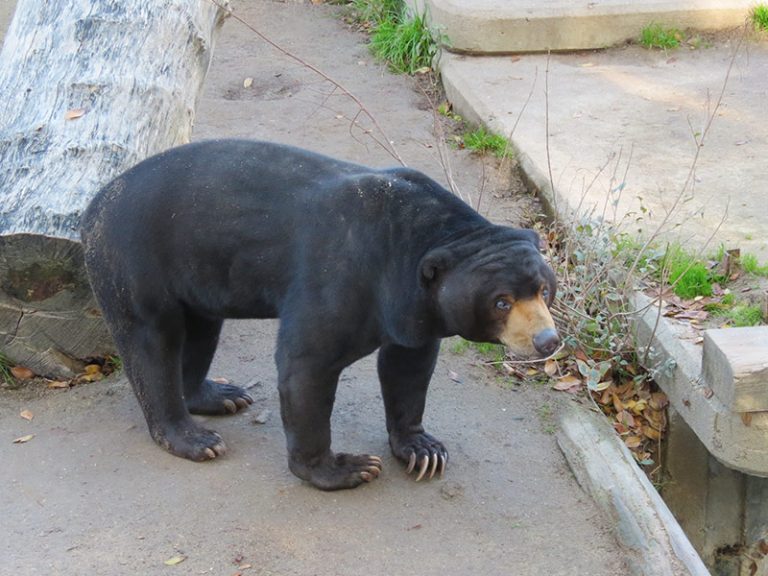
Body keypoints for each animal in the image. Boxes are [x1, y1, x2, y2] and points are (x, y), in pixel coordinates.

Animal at [80, 139, 560, 491]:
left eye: (543, 290)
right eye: (501, 301)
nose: (548, 341)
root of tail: (95, 204)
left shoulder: (412, 307)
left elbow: (408, 367)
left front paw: (424, 451)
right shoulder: (345, 274)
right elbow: (307, 363)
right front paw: (348, 468)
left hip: (196, 271)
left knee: (200, 333)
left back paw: (220, 395)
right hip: (134, 259)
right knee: (152, 344)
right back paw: (193, 438)